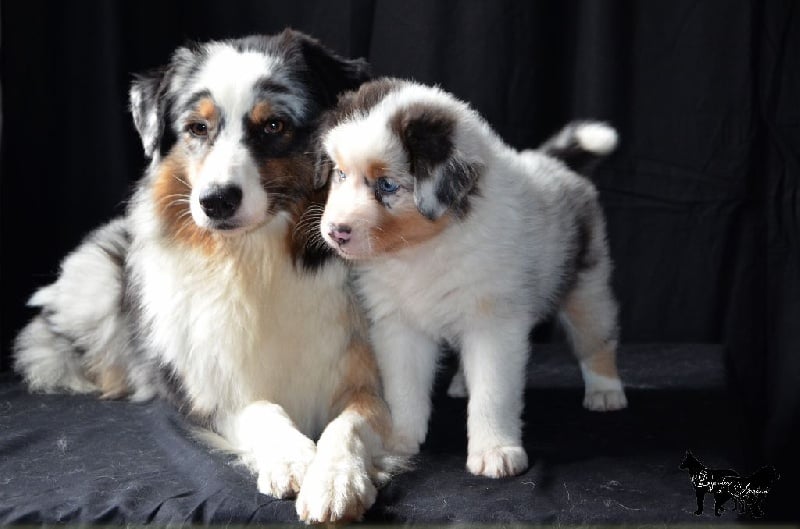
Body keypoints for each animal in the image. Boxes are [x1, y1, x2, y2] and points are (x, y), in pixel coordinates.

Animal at [13, 30, 401, 523]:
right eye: (197, 128)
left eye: (274, 125)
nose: (215, 201)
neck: (253, 258)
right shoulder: (204, 389)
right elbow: (259, 408)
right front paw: (292, 458)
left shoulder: (369, 378)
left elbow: (348, 423)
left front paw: (335, 479)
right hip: (95, 281)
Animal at [314, 78, 627, 478]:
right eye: (339, 174)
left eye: (386, 185)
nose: (335, 232)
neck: (422, 249)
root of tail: (555, 164)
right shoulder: (398, 325)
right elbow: (404, 388)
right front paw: (399, 439)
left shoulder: (494, 322)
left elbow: (493, 392)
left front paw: (496, 451)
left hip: (587, 284)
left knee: (596, 337)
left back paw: (605, 391)